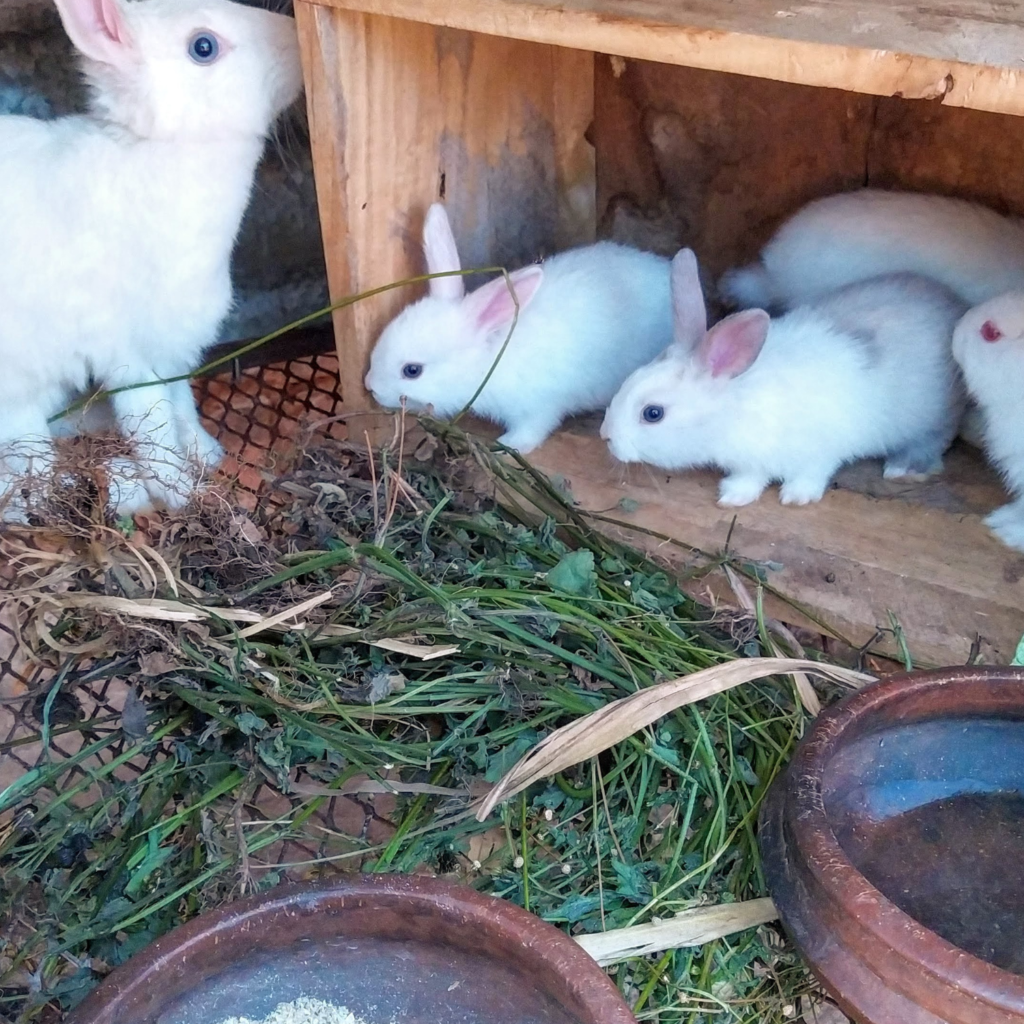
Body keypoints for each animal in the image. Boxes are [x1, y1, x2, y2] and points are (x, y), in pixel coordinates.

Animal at [0, 0, 303, 520]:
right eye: (203, 47)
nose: (298, 40)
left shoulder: (175, 346)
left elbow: (182, 405)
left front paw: (208, 455)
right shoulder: (127, 353)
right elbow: (151, 420)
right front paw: (180, 491)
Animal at [363, 203, 675, 454]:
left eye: (412, 370)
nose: (370, 387)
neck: (490, 358)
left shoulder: (539, 406)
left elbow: (533, 428)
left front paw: (508, 445)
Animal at [602, 249, 967, 508]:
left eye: (653, 413)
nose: (606, 436)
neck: (735, 404)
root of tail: (955, 306)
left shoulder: (821, 449)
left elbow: (812, 473)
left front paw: (796, 497)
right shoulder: (751, 461)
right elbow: (751, 476)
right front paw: (733, 496)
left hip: (934, 418)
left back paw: (904, 467)